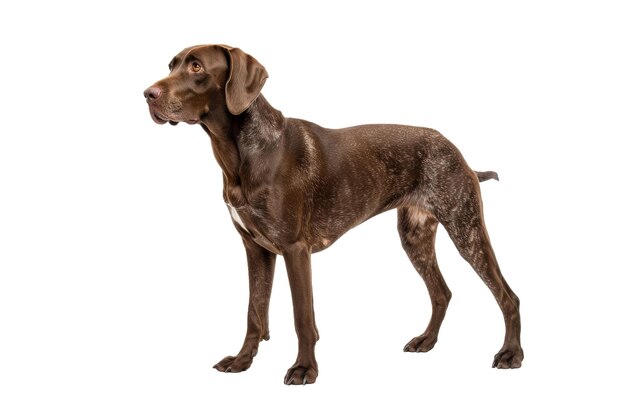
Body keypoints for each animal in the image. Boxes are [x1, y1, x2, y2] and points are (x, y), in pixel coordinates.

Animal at [144, 43, 520, 384]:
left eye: (196, 67)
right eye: (172, 65)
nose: (147, 94)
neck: (241, 154)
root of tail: (455, 149)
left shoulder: (295, 250)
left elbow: (302, 318)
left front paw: (304, 369)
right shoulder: (257, 250)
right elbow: (255, 313)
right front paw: (242, 361)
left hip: (465, 229)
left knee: (507, 296)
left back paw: (511, 354)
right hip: (415, 238)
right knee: (442, 293)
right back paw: (426, 340)